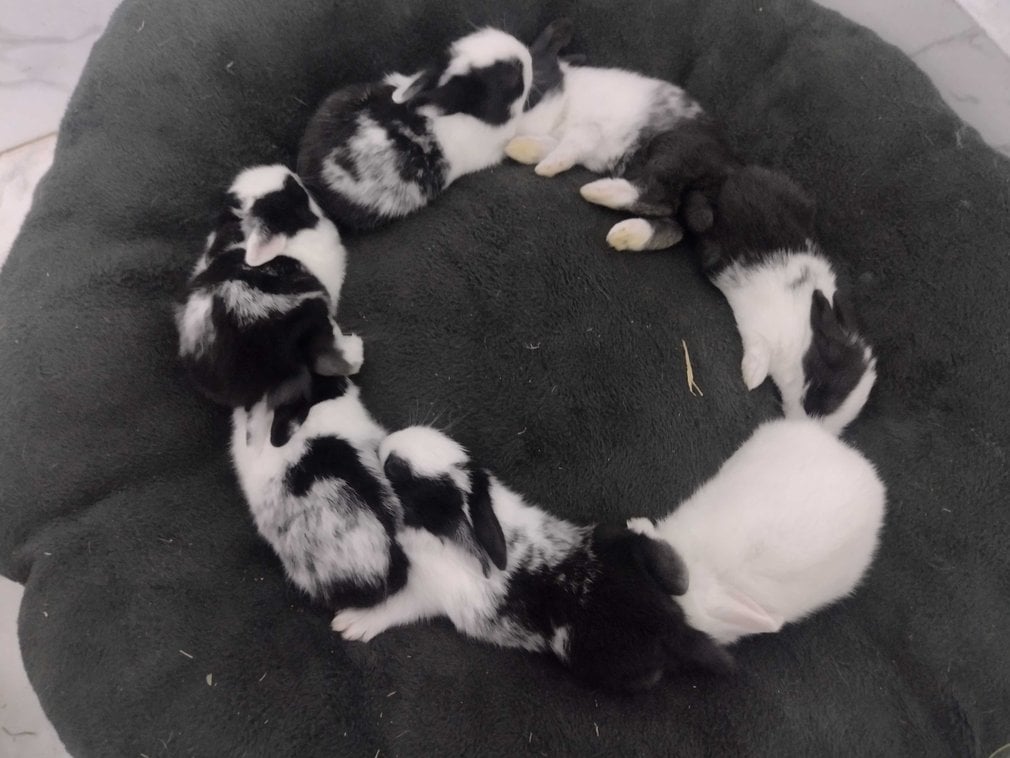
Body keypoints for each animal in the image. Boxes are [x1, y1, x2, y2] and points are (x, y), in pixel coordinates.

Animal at [331, 425, 733, 692]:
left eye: (396, 472)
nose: (388, 442)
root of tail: (673, 627)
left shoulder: (424, 592)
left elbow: (394, 606)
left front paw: (352, 623)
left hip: (590, 656)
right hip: (625, 549)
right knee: (677, 574)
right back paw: (641, 524)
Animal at [507, 19, 739, 248]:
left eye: (529, 98)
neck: (566, 100)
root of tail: (726, 166)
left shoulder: (588, 130)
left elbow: (569, 146)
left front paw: (546, 167)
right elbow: (550, 144)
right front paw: (519, 149)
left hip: (672, 150)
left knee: (658, 196)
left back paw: (596, 191)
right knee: (673, 220)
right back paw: (627, 235)